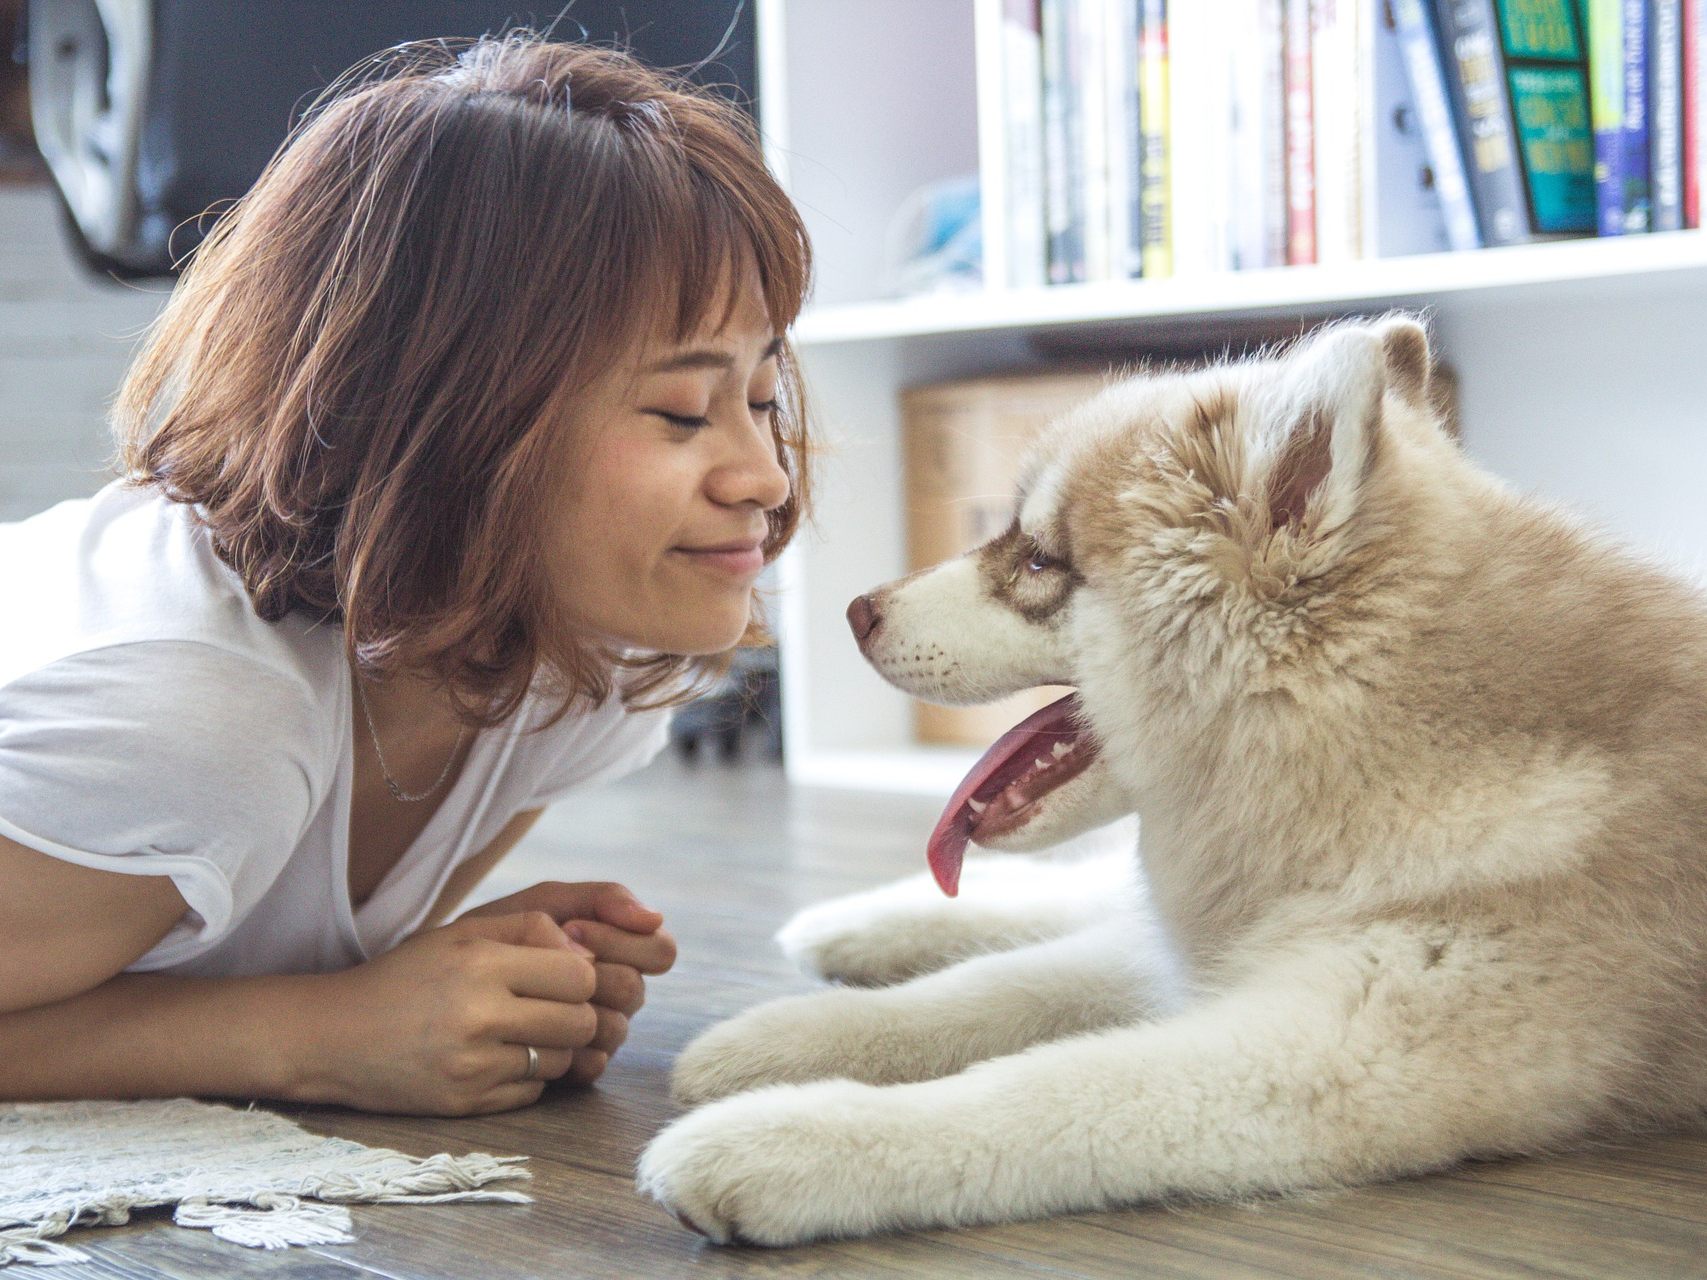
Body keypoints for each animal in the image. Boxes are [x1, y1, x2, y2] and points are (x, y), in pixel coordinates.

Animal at [635, 315, 1700, 1249]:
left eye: (1037, 560)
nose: (855, 612)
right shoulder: (1217, 956)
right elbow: (990, 990)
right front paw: (781, 1038)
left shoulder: (1333, 1053)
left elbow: (1039, 1089)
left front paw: (784, 1140)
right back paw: (853, 927)